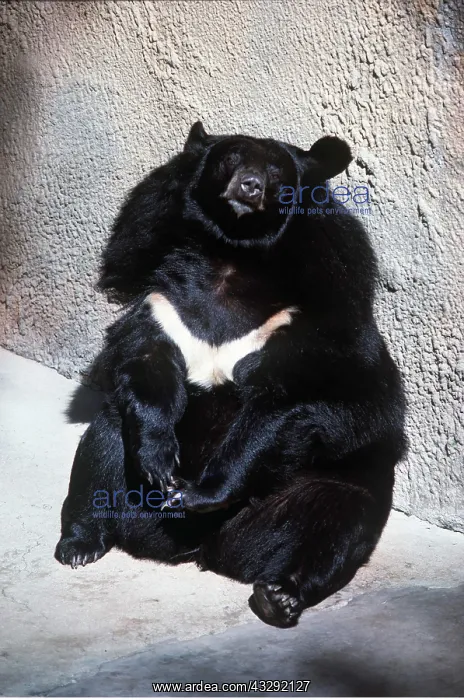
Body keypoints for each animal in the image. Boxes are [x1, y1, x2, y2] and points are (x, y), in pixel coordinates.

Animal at [55, 122, 406, 628]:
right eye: (230, 159)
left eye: (277, 172)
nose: (250, 187)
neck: (235, 258)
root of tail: (190, 550)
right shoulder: (163, 298)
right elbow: (144, 360)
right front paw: (161, 466)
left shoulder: (320, 315)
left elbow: (287, 404)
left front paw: (194, 493)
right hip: (125, 489)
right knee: (101, 443)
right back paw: (80, 544)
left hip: (289, 507)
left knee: (340, 510)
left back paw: (280, 596)